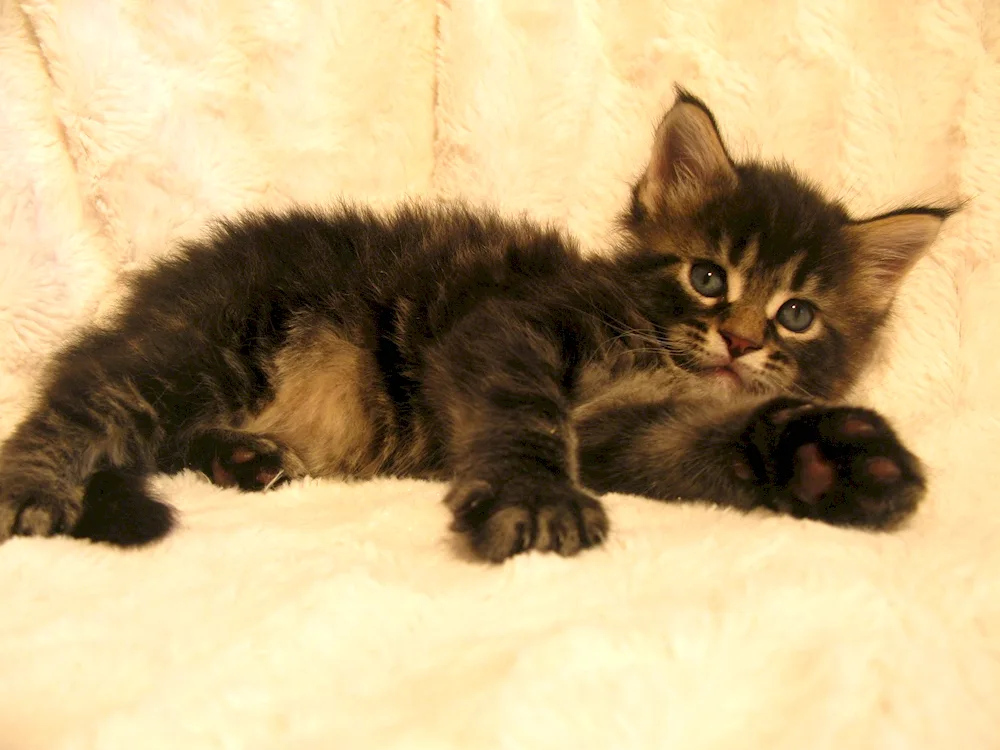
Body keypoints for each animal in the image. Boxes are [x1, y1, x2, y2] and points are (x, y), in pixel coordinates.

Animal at [0, 88, 952, 560]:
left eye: (797, 314)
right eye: (708, 277)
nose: (742, 341)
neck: (656, 355)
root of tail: (160, 288)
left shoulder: (626, 431)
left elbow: (704, 446)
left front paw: (832, 463)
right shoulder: (510, 328)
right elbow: (522, 414)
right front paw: (534, 499)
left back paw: (246, 457)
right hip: (207, 346)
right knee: (80, 402)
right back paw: (32, 490)